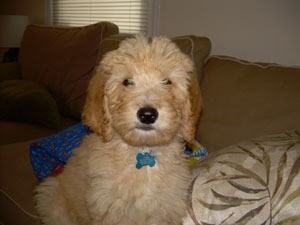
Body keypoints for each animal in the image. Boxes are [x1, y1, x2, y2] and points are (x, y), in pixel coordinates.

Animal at [36, 35, 203, 225]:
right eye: (127, 82)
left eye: (167, 82)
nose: (147, 115)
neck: (143, 151)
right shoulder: (111, 212)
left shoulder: (164, 210)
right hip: (53, 197)